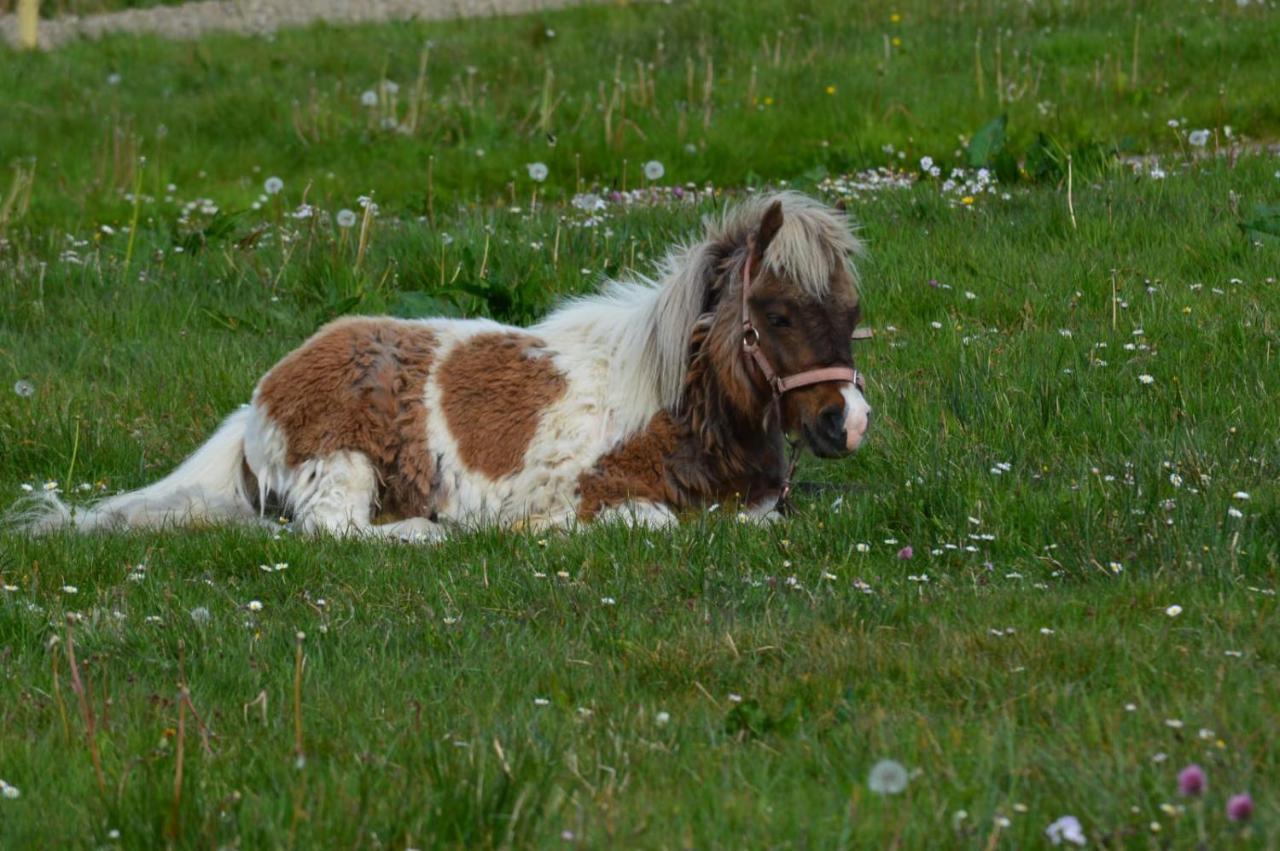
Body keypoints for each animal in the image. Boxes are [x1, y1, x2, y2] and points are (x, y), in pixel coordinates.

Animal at [15, 190, 870, 537]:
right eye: (778, 315)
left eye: (851, 314)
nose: (849, 423)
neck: (671, 400)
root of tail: (261, 396)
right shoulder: (598, 493)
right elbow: (657, 520)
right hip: (345, 464)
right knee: (332, 533)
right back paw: (428, 533)